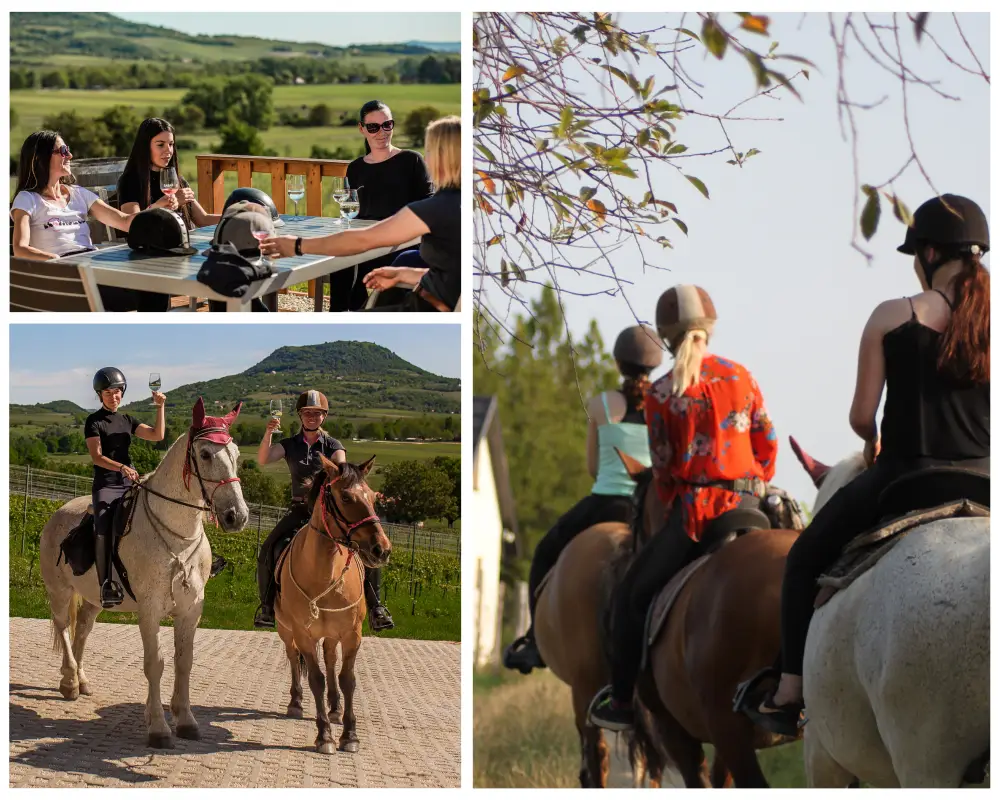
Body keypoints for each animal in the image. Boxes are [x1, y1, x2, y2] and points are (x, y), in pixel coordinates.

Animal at [40, 400, 249, 752]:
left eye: (235, 453)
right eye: (205, 454)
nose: (237, 516)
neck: (178, 536)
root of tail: (58, 513)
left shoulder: (191, 610)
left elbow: (184, 662)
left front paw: (186, 720)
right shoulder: (150, 611)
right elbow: (156, 664)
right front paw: (158, 728)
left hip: (95, 598)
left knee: (82, 630)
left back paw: (81, 680)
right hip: (59, 590)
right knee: (63, 628)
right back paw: (69, 681)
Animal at [280, 456, 396, 756]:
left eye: (373, 497)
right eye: (345, 497)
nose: (382, 549)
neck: (325, 575)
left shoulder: (352, 634)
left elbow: (347, 679)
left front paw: (350, 735)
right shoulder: (304, 635)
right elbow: (315, 679)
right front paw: (325, 737)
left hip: (333, 634)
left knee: (332, 659)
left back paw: (334, 708)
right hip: (287, 631)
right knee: (293, 658)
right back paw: (296, 703)